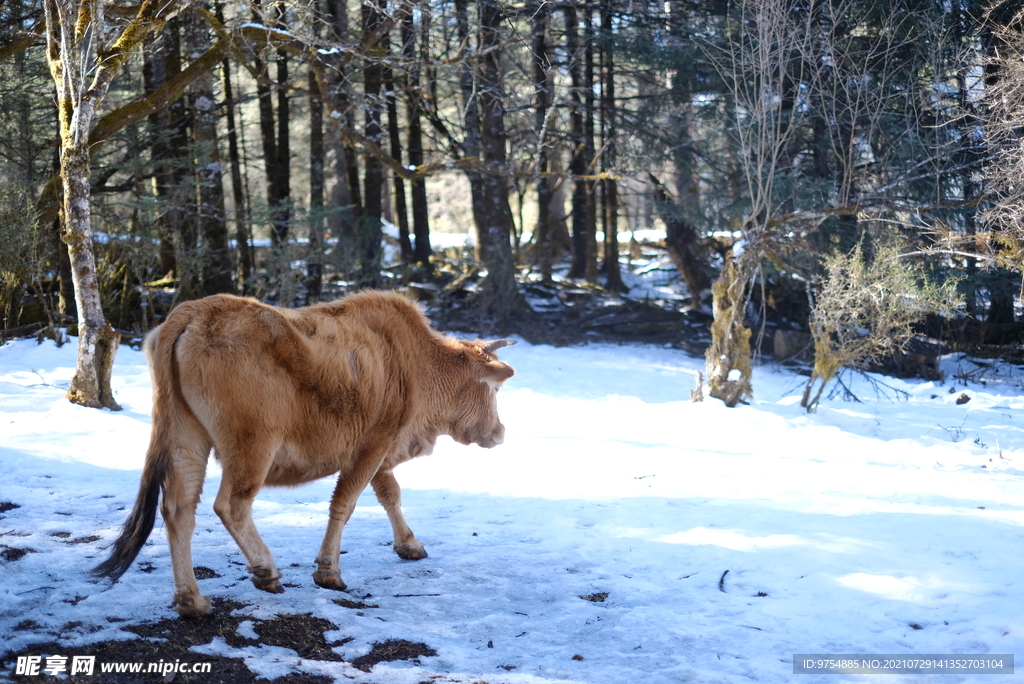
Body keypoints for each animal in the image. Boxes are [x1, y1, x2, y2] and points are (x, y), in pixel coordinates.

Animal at [93, 290, 516, 618]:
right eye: (494, 389)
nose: (500, 432)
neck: (416, 361)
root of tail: (194, 312)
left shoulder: (380, 452)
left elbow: (389, 494)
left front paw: (409, 544)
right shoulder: (373, 444)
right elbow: (345, 503)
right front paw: (328, 571)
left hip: (186, 439)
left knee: (179, 510)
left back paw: (191, 601)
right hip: (252, 447)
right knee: (231, 504)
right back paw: (265, 572)